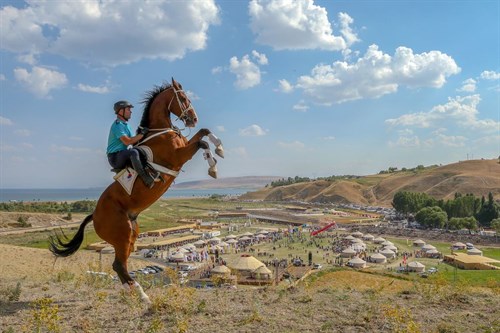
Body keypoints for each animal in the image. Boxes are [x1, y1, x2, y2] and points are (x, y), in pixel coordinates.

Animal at [49, 78, 223, 304]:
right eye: (183, 98)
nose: (193, 118)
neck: (161, 131)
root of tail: (94, 215)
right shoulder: (179, 155)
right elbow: (202, 142)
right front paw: (213, 166)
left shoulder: (185, 147)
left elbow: (204, 132)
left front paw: (219, 149)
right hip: (122, 234)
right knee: (118, 264)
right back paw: (142, 295)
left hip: (131, 233)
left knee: (120, 265)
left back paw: (132, 292)